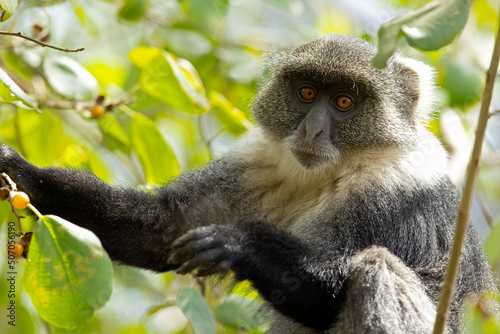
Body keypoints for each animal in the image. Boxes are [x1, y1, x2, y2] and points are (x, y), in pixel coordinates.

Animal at [0, 34, 494, 334]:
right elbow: (161, 228)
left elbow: (335, 291)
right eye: (307, 93)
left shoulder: (398, 190)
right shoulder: (256, 166)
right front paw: (21, 172)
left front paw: (240, 246)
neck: (328, 174)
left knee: (378, 267)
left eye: (345, 102)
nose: (313, 130)